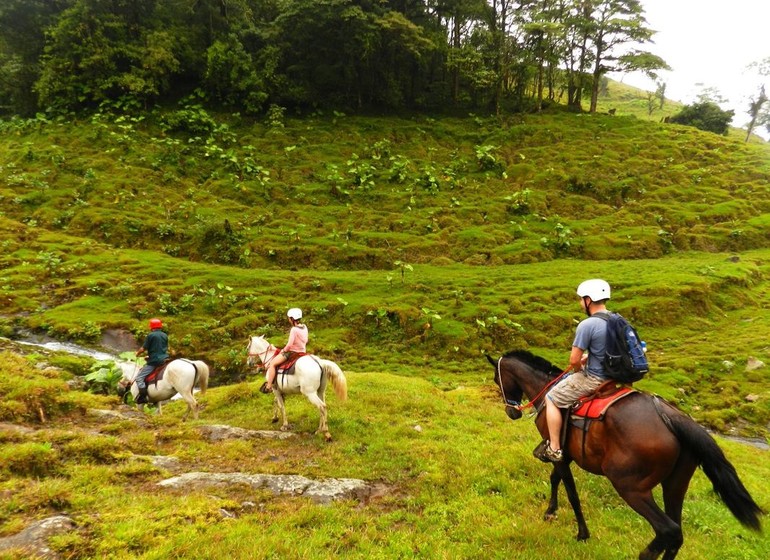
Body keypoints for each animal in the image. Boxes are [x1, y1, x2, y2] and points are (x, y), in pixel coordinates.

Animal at [488, 352, 760, 556]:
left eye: (496, 379)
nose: (511, 412)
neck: (547, 392)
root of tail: (670, 417)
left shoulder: (560, 452)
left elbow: (571, 493)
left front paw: (582, 533)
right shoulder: (565, 455)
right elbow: (555, 479)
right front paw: (550, 511)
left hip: (631, 487)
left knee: (668, 530)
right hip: (675, 486)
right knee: (677, 535)